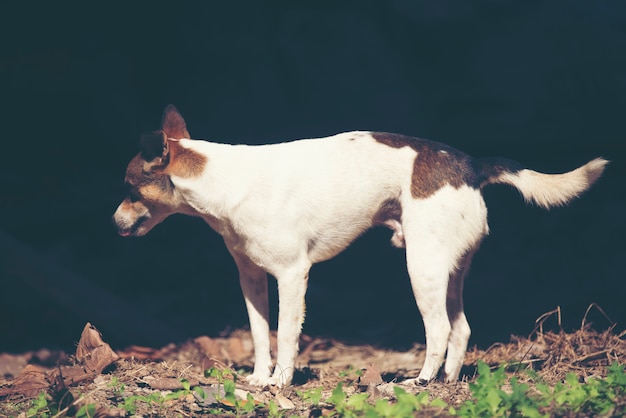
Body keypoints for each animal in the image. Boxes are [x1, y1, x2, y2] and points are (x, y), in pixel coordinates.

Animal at [112, 104, 604, 386]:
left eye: (131, 190)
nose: (113, 223)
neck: (221, 181)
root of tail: (470, 164)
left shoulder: (292, 276)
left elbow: (286, 334)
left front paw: (281, 382)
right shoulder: (251, 279)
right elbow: (258, 335)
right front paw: (257, 378)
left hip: (421, 268)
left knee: (439, 330)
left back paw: (419, 381)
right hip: (448, 270)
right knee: (461, 328)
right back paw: (447, 381)